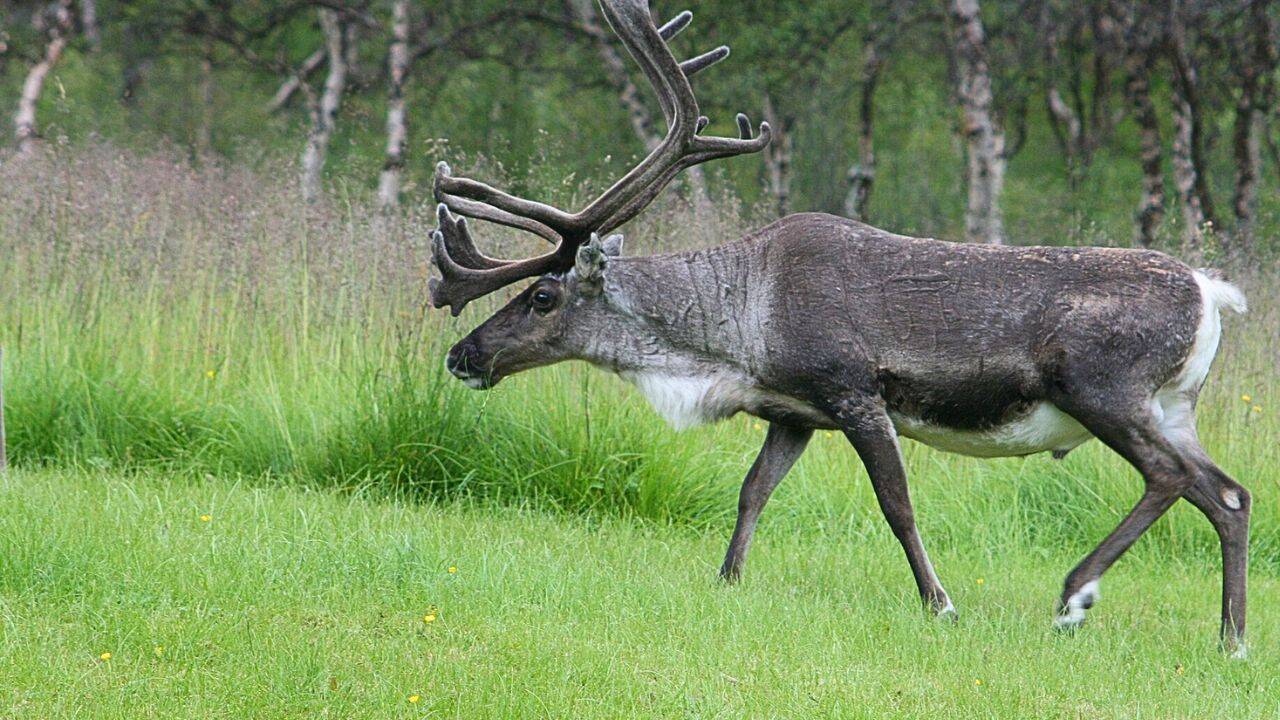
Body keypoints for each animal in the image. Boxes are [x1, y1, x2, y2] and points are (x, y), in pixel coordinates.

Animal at [428, 0, 1251, 656]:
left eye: (542, 296)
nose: (462, 354)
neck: (736, 334)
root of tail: (1212, 293)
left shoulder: (854, 390)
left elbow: (897, 504)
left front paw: (941, 605)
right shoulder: (795, 413)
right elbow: (752, 492)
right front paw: (727, 582)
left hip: (1101, 388)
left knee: (1171, 477)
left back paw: (1076, 597)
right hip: (1172, 407)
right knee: (1229, 495)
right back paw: (1232, 640)